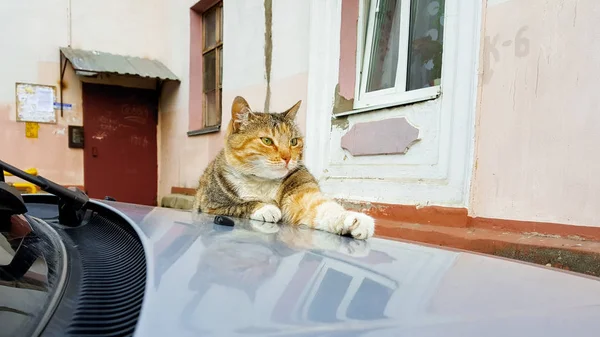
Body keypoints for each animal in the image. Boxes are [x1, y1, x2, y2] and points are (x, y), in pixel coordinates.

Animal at [193, 94, 376, 239]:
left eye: (293, 141)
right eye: (267, 140)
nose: (287, 157)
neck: (262, 182)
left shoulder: (300, 189)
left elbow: (320, 207)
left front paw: (355, 220)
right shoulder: (212, 205)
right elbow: (240, 205)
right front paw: (266, 208)